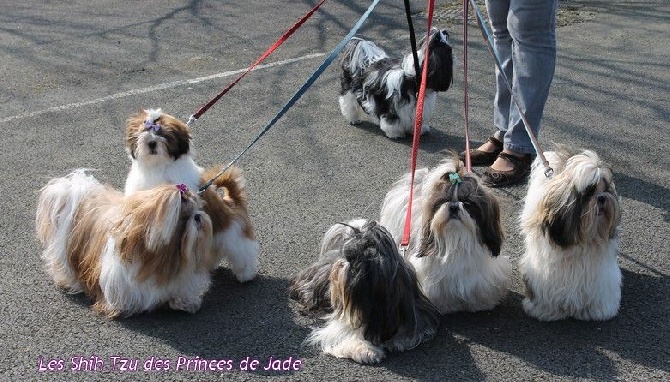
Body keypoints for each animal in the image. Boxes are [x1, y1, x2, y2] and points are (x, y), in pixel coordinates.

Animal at [124, 109, 262, 282]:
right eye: (143, 131)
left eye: (163, 135)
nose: (152, 142)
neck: (157, 166)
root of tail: (231, 201)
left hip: (233, 234)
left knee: (244, 251)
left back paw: (246, 274)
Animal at [290, 219, 440, 362]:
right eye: (348, 255)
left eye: (355, 258)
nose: (342, 261)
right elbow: (347, 335)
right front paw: (367, 351)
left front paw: (397, 341)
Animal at [380, 157, 512, 314]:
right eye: (442, 201)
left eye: (467, 203)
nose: (454, 206)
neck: (457, 239)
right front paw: (446, 306)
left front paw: (480, 303)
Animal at [520, 148, 624, 320]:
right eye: (588, 193)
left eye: (605, 189)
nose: (602, 198)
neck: (583, 241)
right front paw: (545, 310)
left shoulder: (598, 274)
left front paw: (598, 310)